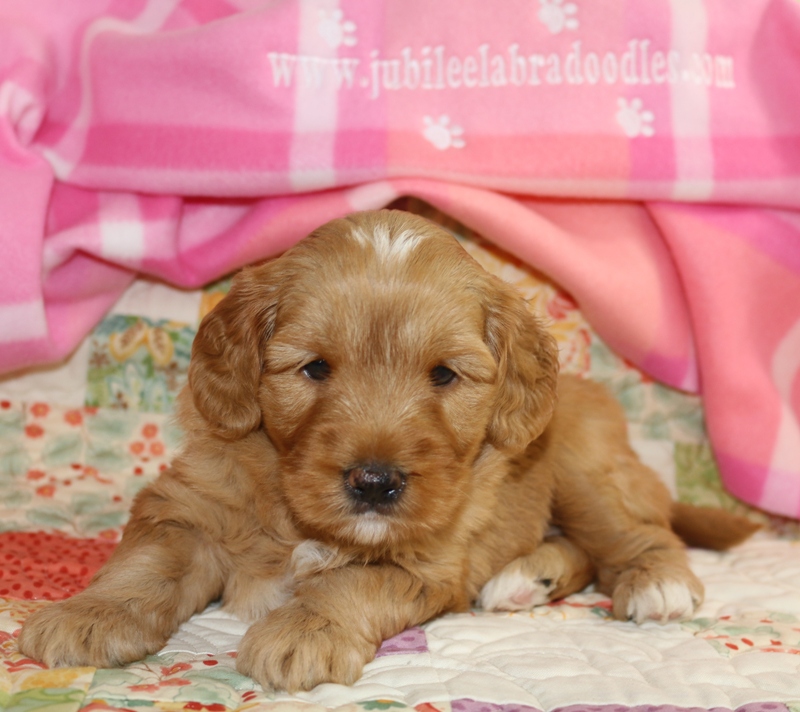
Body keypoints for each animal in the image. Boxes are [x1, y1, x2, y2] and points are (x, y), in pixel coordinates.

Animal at [19, 209, 758, 692]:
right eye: (315, 368)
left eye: (444, 376)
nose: (375, 484)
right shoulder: (190, 503)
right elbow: (149, 561)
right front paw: (90, 615)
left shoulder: (425, 559)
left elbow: (348, 582)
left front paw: (303, 632)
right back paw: (526, 577)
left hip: (583, 464)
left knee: (638, 534)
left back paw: (651, 582)